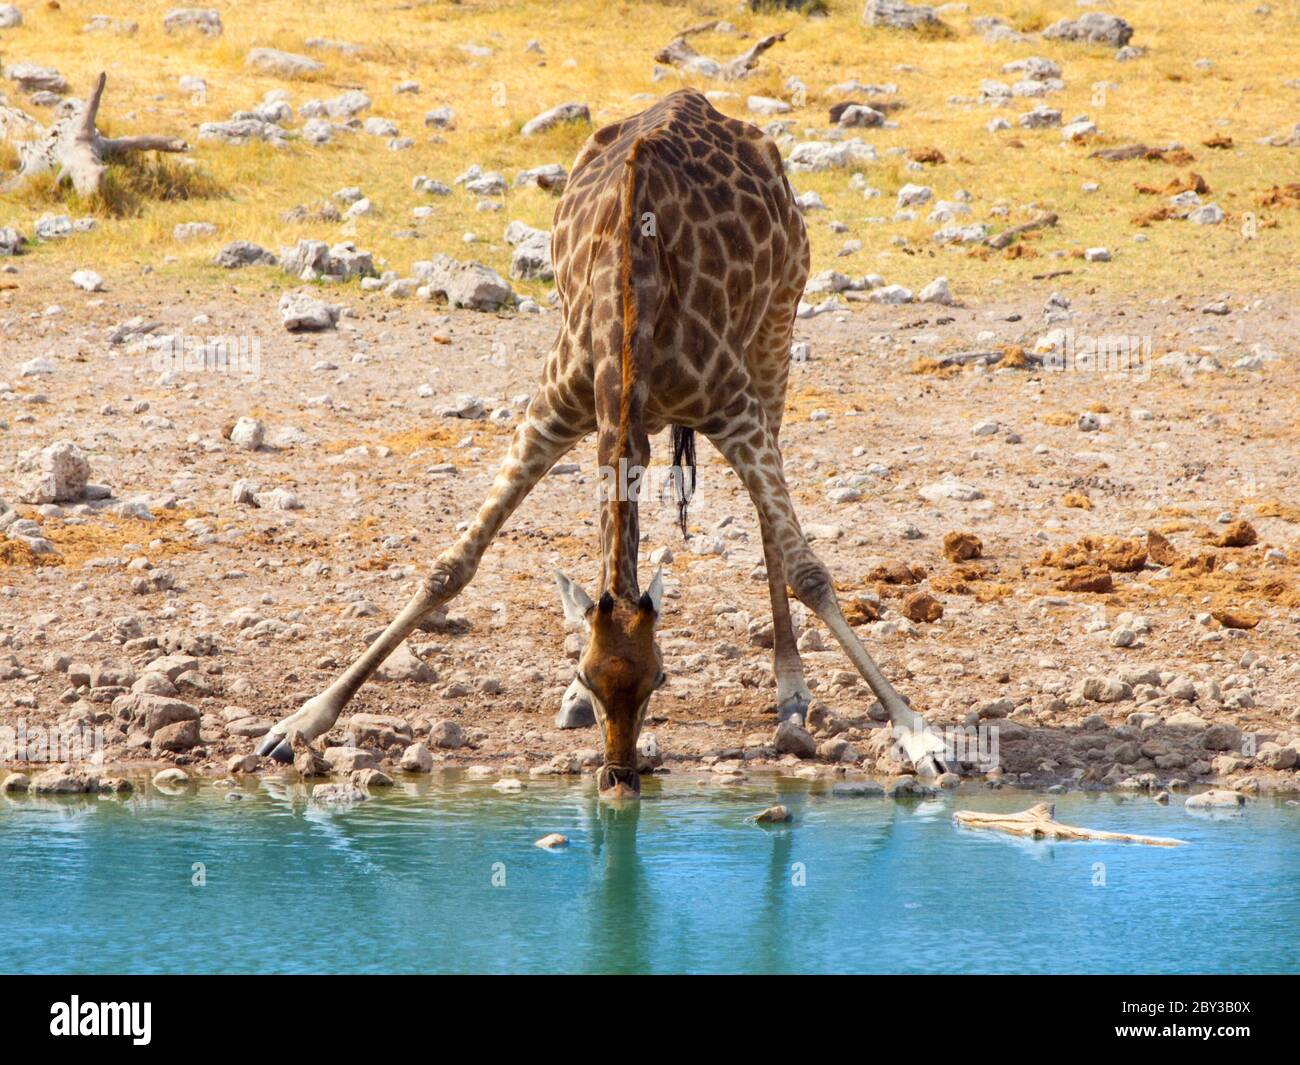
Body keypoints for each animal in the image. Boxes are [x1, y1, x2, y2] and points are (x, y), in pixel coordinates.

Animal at [253, 89, 946, 790]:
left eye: (661, 679)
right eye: (589, 675)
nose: (618, 776)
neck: (630, 313)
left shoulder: (734, 409)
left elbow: (810, 571)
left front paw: (918, 734)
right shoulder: (553, 410)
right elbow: (451, 568)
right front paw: (297, 725)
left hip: (777, 330)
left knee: (769, 529)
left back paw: (791, 694)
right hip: (640, 424)